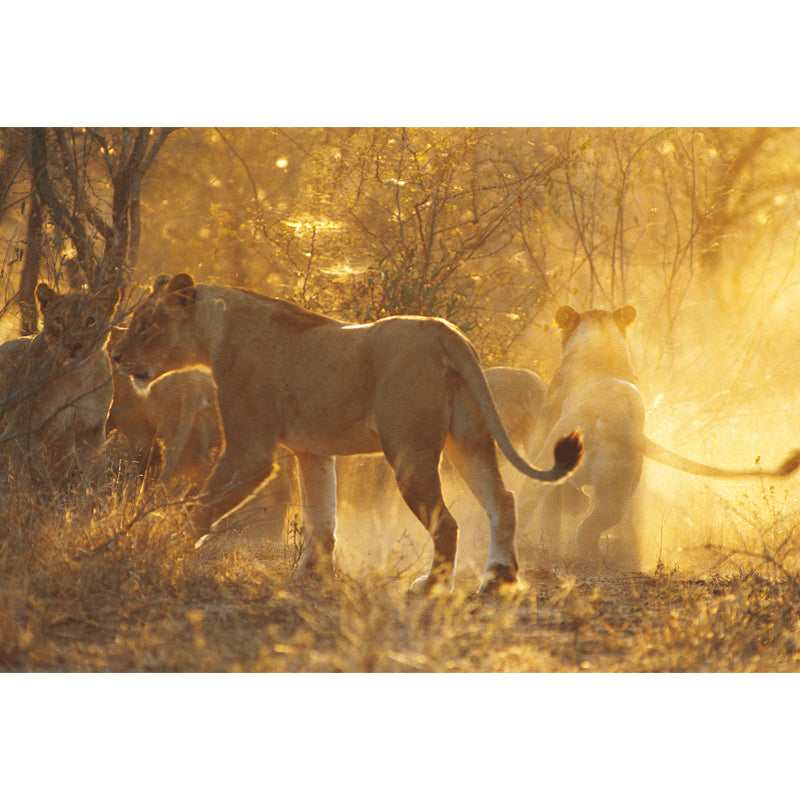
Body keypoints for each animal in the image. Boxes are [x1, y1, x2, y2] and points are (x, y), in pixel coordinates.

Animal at [0, 282, 120, 487]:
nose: (73, 344)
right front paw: (45, 495)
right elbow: (38, 476)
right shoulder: (22, 430)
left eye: (90, 321)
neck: (76, 376)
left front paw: (96, 494)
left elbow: (96, 472)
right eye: (59, 320)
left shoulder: (93, 429)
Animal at [112, 272, 583, 592]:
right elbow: (321, 518)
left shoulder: (250, 449)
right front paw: (312, 575)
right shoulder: (312, 451)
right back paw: (497, 580)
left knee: (447, 523)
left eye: (147, 325)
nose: (114, 355)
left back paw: (431, 586)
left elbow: (202, 506)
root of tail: (441, 329)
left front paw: (160, 546)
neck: (214, 333)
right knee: (502, 500)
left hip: (410, 454)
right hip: (467, 441)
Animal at [529, 305, 800, 561]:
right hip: (618, 481)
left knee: (532, 499)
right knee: (594, 524)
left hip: (562, 455)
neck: (604, 348)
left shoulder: (547, 416)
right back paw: (594, 557)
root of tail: (618, 416)